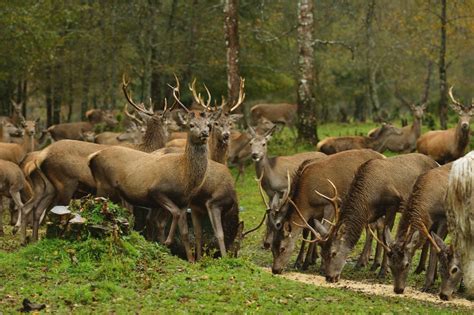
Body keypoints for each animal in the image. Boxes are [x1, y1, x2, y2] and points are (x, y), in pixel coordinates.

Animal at [320, 154, 438, 284]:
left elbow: (385, 237)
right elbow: (379, 232)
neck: (369, 198)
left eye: (333, 253)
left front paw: (383, 271)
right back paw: (421, 269)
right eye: (322, 253)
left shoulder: (393, 203)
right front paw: (373, 265)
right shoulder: (374, 213)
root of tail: (436, 163)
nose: (329, 277)